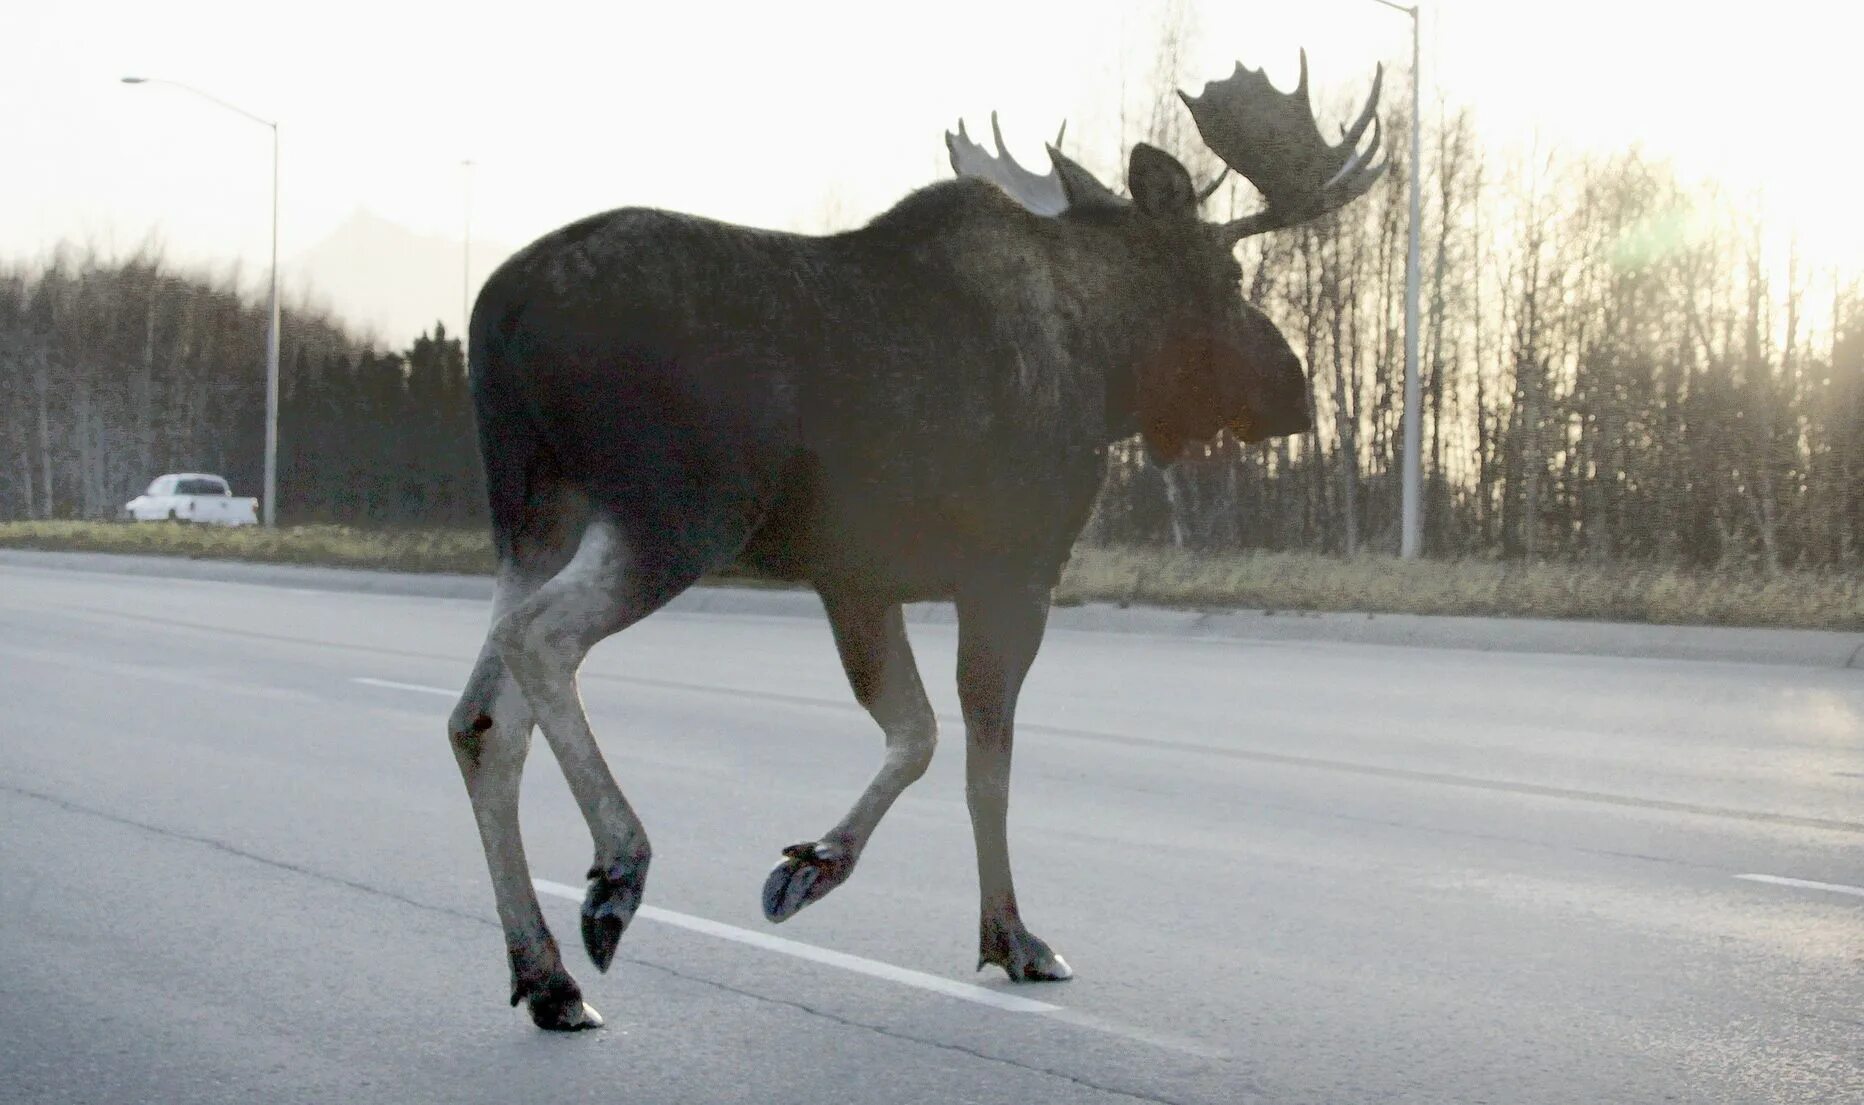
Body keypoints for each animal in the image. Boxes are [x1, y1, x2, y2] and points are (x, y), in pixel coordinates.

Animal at [451, 51, 1386, 1028]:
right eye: (1231, 277)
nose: (1296, 393)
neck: (1112, 364)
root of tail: (497, 312)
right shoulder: (1011, 571)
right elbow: (982, 760)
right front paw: (1010, 935)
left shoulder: (859, 578)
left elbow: (915, 732)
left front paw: (811, 865)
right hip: (675, 513)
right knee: (539, 641)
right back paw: (616, 874)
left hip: (537, 514)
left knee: (482, 721)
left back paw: (544, 974)